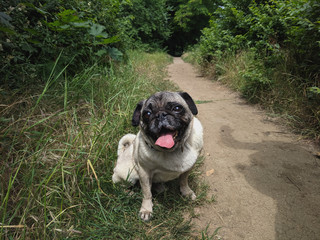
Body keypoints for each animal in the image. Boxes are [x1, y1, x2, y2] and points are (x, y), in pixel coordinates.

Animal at [112, 92, 202, 221]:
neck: (172, 151)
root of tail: (121, 154)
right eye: (147, 114)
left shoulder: (188, 169)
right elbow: (147, 193)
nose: (160, 115)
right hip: (130, 174)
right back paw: (130, 193)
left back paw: (160, 187)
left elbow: (184, 181)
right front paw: (146, 210)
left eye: (177, 108)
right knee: (120, 185)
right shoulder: (144, 172)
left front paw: (186, 192)